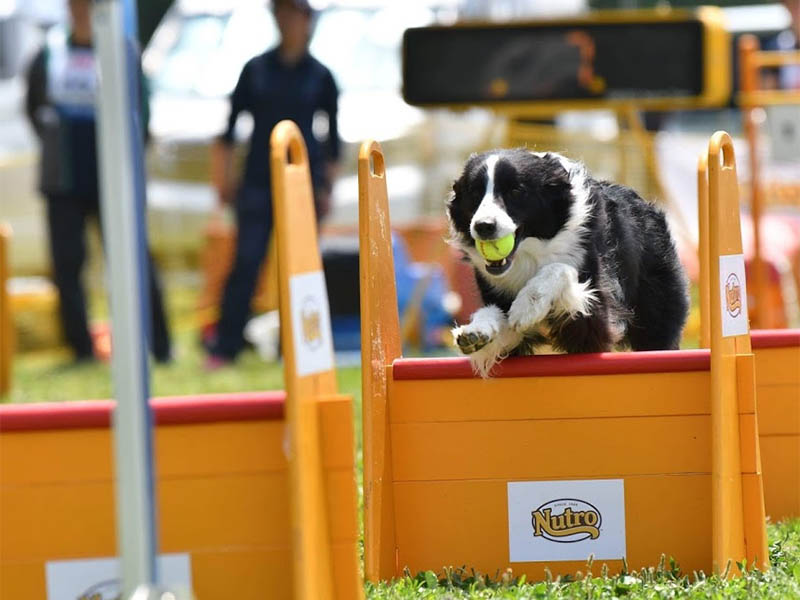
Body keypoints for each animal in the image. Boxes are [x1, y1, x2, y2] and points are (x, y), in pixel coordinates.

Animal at [450, 148, 688, 378]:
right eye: (474, 193)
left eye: (516, 191)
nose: (483, 226)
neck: (532, 254)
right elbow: (498, 321)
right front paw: (477, 331)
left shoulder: (594, 325)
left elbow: (560, 268)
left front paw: (528, 305)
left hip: (657, 314)